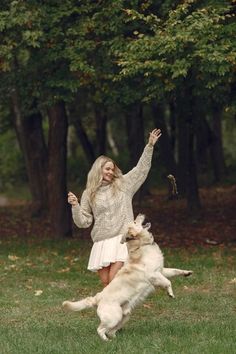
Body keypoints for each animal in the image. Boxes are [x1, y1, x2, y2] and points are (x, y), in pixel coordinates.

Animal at [62, 214, 192, 342]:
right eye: (135, 222)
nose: (140, 214)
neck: (141, 245)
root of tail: (97, 298)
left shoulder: (161, 270)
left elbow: (175, 271)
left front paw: (187, 273)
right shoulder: (153, 274)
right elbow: (168, 282)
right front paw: (170, 293)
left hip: (124, 316)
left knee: (110, 331)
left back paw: (116, 339)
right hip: (114, 316)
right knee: (100, 329)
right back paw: (106, 341)